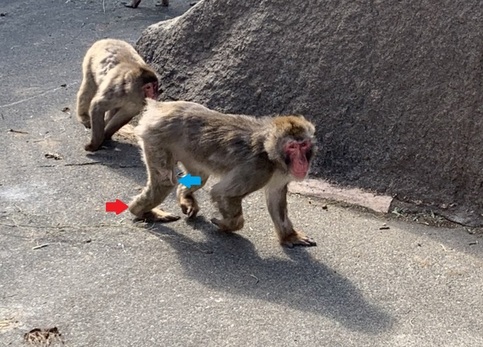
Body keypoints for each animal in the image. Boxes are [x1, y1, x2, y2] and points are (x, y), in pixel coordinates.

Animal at [129, 99, 318, 249]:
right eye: (292, 147)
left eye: (304, 145)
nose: (302, 161)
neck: (271, 154)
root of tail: (160, 106)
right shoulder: (257, 170)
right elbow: (223, 193)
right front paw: (227, 225)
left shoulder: (279, 174)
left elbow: (275, 197)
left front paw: (289, 236)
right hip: (155, 137)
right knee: (164, 182)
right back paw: (142, 212)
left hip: (190, 152)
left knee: (200, 176)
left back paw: (185, 197)